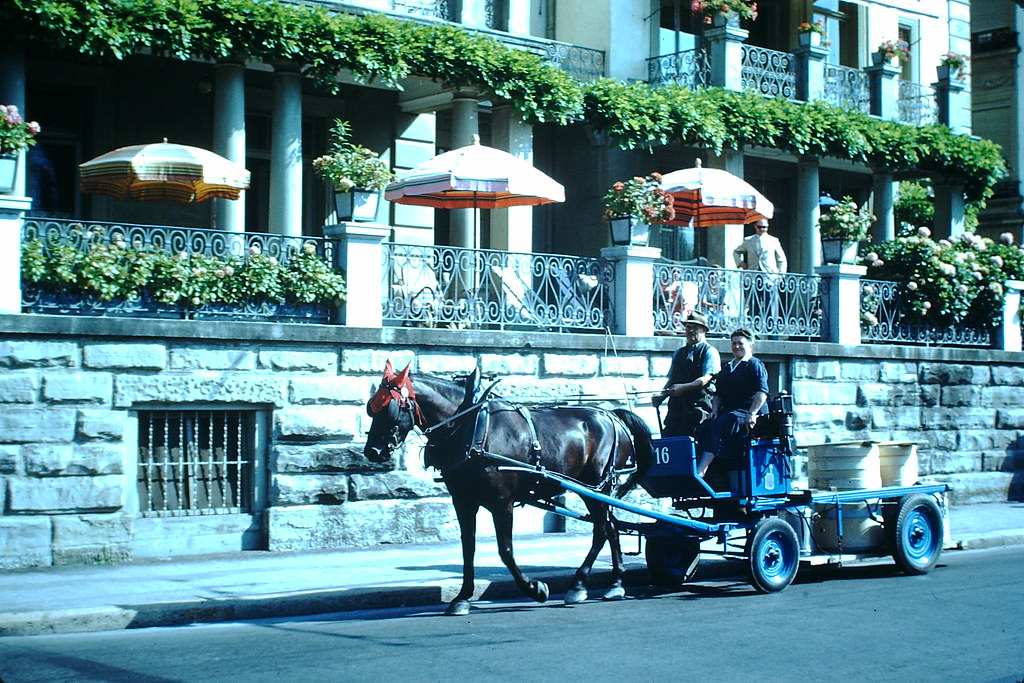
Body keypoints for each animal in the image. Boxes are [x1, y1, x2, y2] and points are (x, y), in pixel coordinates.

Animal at [366, 360, 655, 618]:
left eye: (390, 408)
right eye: (371, 408)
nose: (372, 451)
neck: (472, 427)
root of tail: (612, 416)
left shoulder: (501, 502)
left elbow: (505, 551)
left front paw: (535, 589)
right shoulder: (464, 501)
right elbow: (468, 547)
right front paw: (463, 597)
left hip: (598, 487)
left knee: (602, 530)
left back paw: (579, 585)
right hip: (597, 491)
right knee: (611, 527)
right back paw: (615, 584)